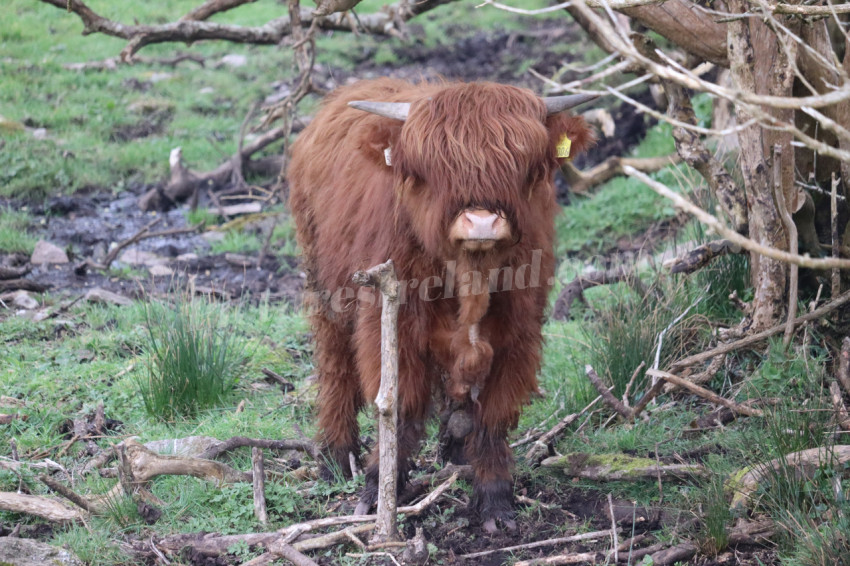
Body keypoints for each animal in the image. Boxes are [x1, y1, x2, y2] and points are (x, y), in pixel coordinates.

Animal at [288, 78, 595, 532]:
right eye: (432, 169)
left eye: (522, 164)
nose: (482, 221)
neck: (470, 276)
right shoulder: (391, 324)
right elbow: (397, 408)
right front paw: (379, 490)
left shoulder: (519, 333)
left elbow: (493, 417)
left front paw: (496, 501)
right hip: (324, 288)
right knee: (335, 367)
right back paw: (335, 457)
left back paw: (455, 451)